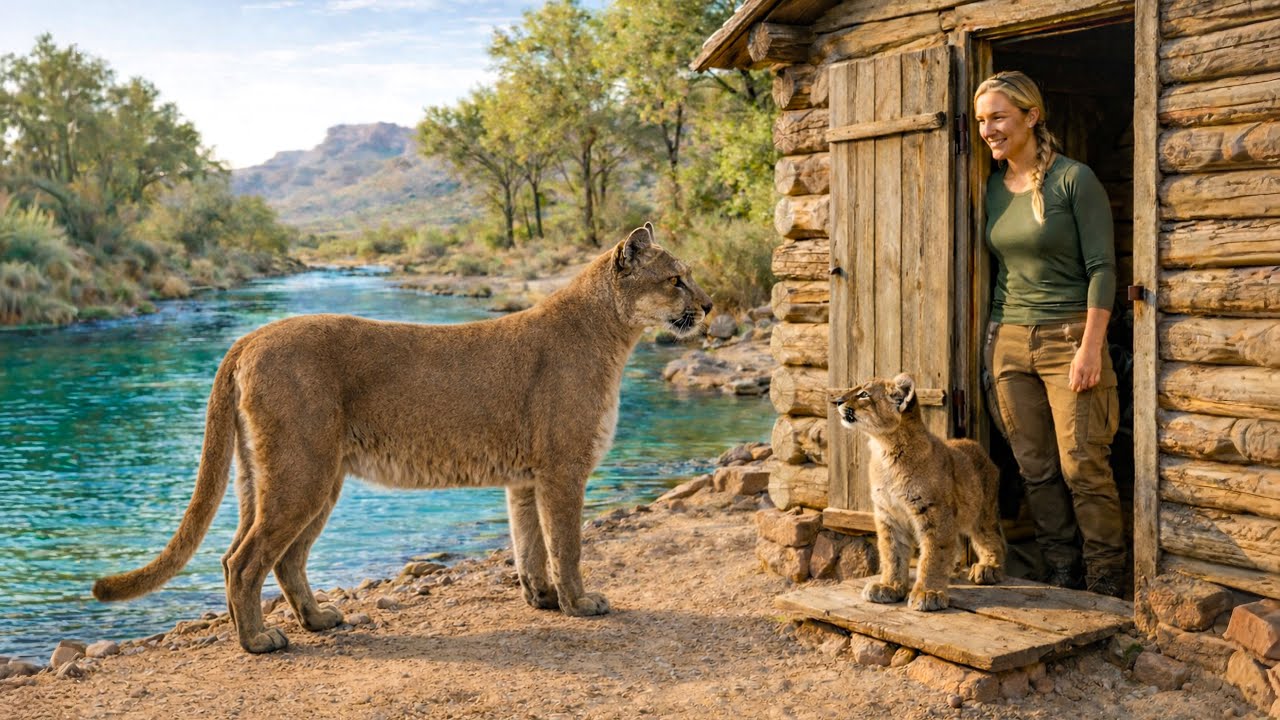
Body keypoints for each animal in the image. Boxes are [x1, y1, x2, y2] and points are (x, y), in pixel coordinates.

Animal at [93, 223, 712, 654]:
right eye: (675, 279)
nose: (708, 305)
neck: (612, 335)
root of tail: (249, 336)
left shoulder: (526, 477)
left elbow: (528, 543)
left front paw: (541, 601)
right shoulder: (563, 468)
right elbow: (567, 544)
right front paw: (581, 603)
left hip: (297, 477)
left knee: (272, 558)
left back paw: (317, 620)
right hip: (302, 473)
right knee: (245, 560)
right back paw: (260, 643)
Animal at [833, 374, 1005, 611]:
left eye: (864, 394)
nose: (837, 400)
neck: (884, 449)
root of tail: (974, 443)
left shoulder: (933, 512)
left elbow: (934, 553)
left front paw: (928, 593)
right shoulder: (889, 514)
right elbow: (892, 553)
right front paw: (889, 586)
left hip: (982, 513)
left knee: (991, 537)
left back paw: (989, 567)